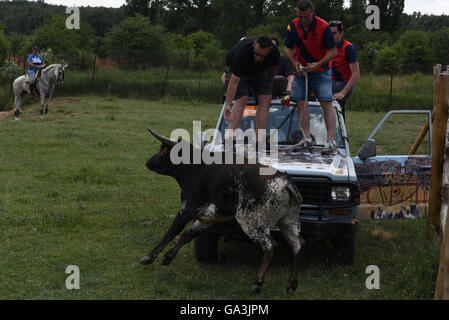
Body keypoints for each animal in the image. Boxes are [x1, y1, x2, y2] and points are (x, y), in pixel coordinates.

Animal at [141, 127, 304, 296]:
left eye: (163, 150)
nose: (148, 163)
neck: (195, 167)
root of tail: (284, 181)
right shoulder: (208, 218)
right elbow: (187, 235)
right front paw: (168, 257)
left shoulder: (187, 209)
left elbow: (171, 232)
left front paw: (149, 257)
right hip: (287, 222)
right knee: (298, 245)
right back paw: (292, 283)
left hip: (250, 221)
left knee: (270, 246)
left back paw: (257, 282)